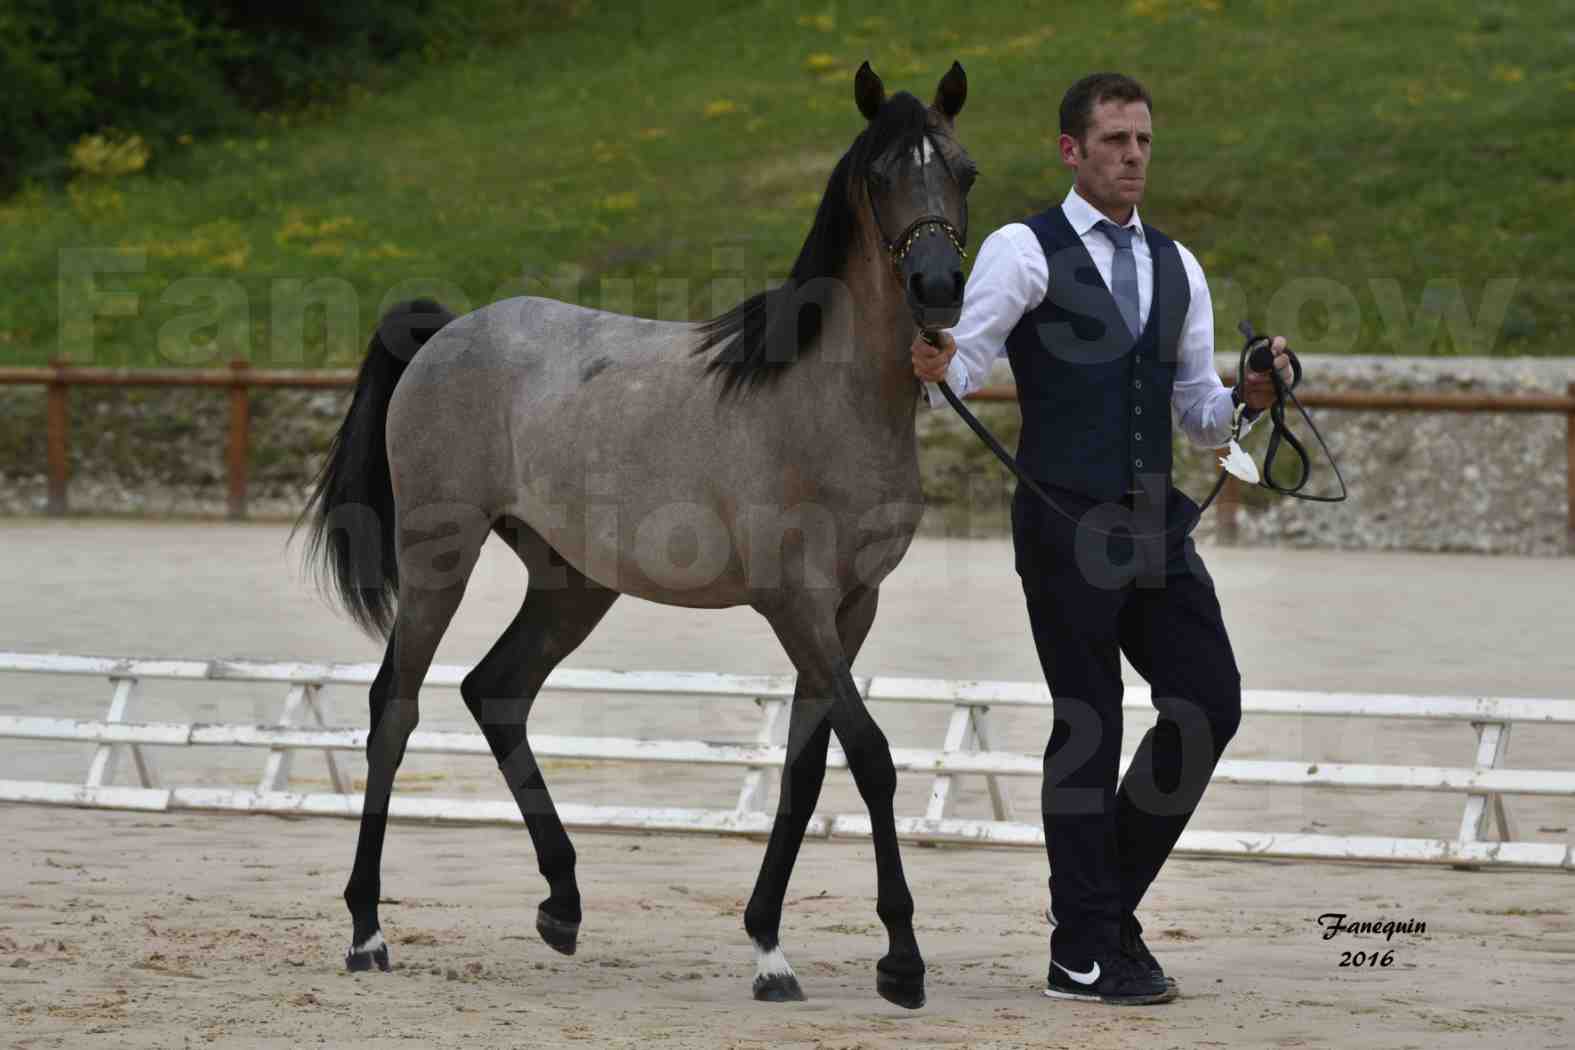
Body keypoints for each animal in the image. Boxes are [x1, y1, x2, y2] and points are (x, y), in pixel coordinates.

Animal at [297, 59, 970, 1007]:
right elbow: (870, 757)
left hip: (571, 582)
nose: (938, 288)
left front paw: (769, 948)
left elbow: (803, 772)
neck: (824, 397)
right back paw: (367, 930)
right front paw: (900, 961)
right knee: (395, 706)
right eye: (879, 175)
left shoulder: (850, 608)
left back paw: (563, 904)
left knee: (496, 691)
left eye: (964, 172)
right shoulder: (794, 605)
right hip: (439, 556)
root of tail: (445, 332)